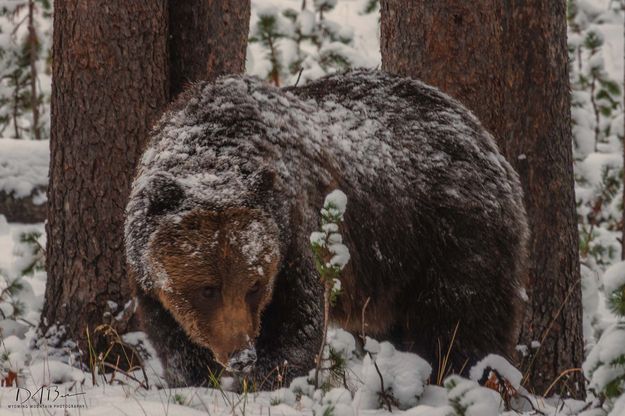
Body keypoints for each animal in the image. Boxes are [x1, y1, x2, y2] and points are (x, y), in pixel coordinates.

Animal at [125, 69, 528, 386]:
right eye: (208, 289)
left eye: (254, 285)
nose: (241, 355)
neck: (213, 149)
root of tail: (481, 134)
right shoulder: (150, 275)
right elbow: (173, 338)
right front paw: (196, 379)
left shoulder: (296, 236)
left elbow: (296, 326)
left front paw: (269, 380)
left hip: (448, 235)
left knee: (461, 322)